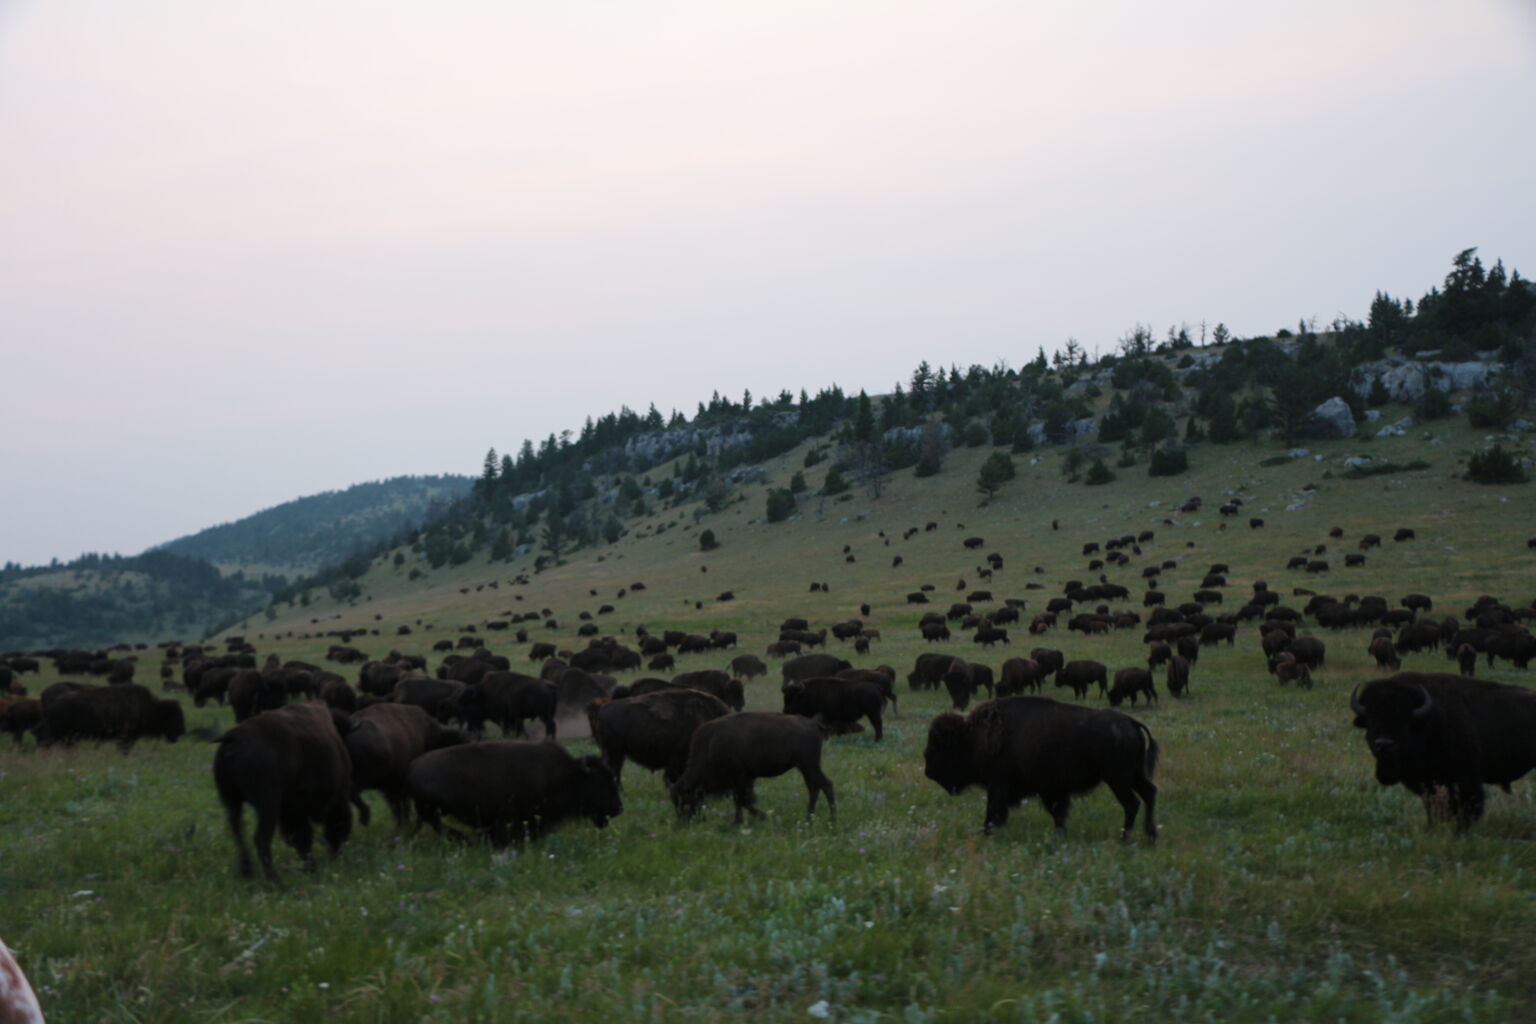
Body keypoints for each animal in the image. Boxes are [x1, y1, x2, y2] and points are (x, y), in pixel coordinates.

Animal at [211, 706, 351, 884]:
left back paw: (247, 871)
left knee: (237, 831)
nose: (336, 852)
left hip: (232, 802)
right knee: (261, 839)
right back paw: (275, 880)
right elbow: (302, 836)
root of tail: (233, 737)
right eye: (341, 823)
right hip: (268, 806)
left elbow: (301, 836)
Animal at [675, 712, 841, 822]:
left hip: (809, 766)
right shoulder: (746, 778)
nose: (683, 822)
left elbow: (743, 800)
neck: (710, 745)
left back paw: (831, 819)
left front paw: (755, 818)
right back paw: (809, 817)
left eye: (685, 799)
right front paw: (743, 820)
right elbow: (743, 800)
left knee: (826, 785)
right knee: (814, 788)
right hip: (805, 768)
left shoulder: (739, 777)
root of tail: (813, 723)